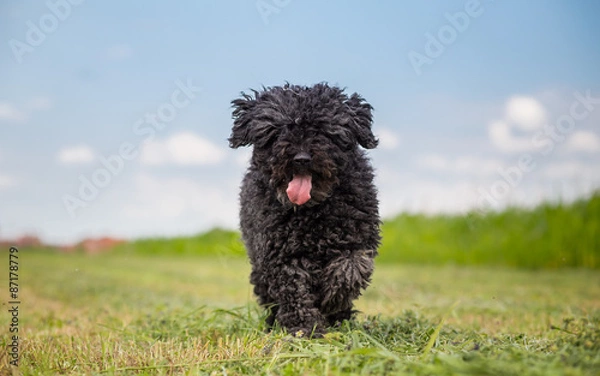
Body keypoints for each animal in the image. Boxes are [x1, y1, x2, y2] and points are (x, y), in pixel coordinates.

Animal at [230, 83, 380, 338]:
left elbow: (350, 269)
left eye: (322, 130)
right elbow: (294, 291)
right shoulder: (280, 254)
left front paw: (331, 299)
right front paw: (304, 329)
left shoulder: (359, 241)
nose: (301, 158)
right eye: (279, 131)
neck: (312, 211)